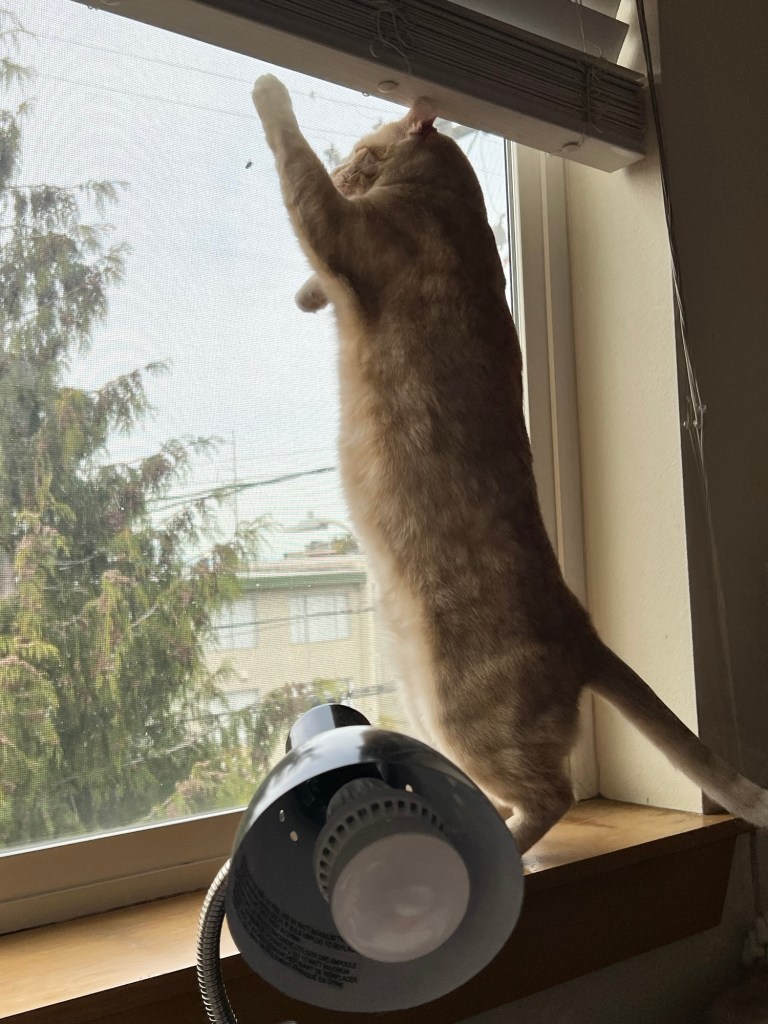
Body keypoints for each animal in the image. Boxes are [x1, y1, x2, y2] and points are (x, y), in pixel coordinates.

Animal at [251, 74, 768, 853]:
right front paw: (306, 292)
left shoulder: (347, 231)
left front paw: (270, 88)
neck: (457, 209)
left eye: (357, 154)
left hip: (458, 711)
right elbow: (316, 271)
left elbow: (296, 170)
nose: (347, 167)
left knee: (550, 793)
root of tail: (580, 626)